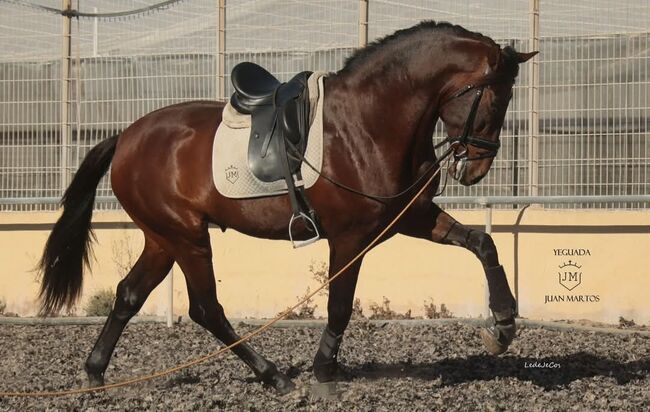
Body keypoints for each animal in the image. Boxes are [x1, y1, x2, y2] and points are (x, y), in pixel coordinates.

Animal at [38, 21, 532, 392]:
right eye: (494, 97)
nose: (476, 169)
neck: (370, 122)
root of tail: (126, 137)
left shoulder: (410, 215)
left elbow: (483, 243)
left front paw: (503, 325)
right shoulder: (350, 237)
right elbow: (340, 305)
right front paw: (324, 372)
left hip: (163, 238)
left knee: (129, 295)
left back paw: (95, 373)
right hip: (186, 237)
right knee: (206, 308)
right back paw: (272, 375)